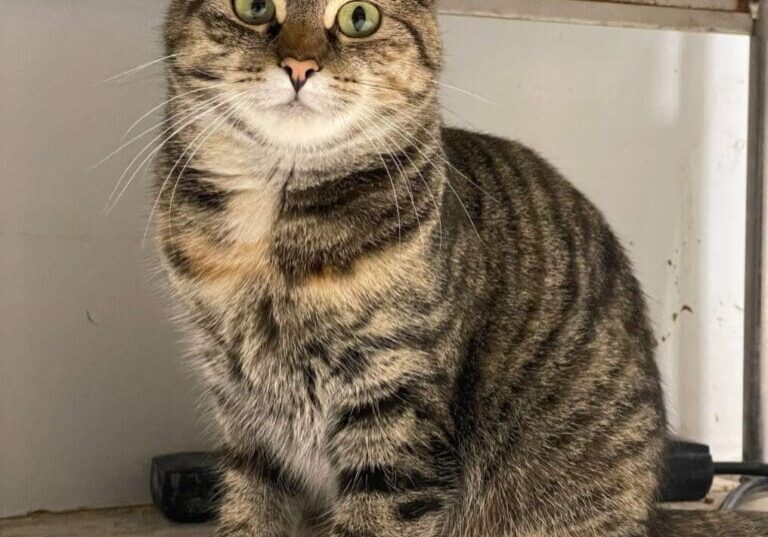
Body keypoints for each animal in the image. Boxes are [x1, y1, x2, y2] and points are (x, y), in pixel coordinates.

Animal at [154, 1, 768, 536]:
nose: (299, 66)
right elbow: (250, 508)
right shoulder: (245, 418)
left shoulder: (396, 409)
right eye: (254, 7)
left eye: (358, 16)